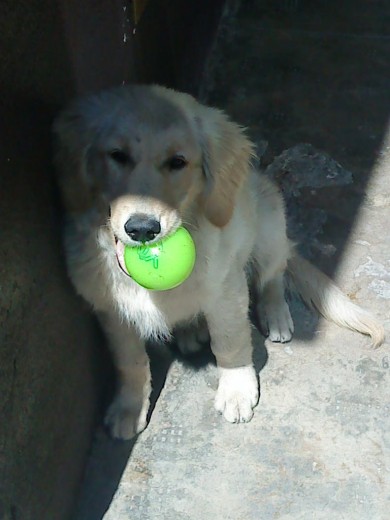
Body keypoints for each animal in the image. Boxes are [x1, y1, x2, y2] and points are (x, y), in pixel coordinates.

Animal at [53, 85, 386, 438]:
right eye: (117, 155)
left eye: (178, 162)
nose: (142, 229)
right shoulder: (111, 310)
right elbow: (129, 362)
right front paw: (131, 406)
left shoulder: (226, 290)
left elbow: (231, 341)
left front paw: (237, 390)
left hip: (268, 228)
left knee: (274, 275)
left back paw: (275, 314)